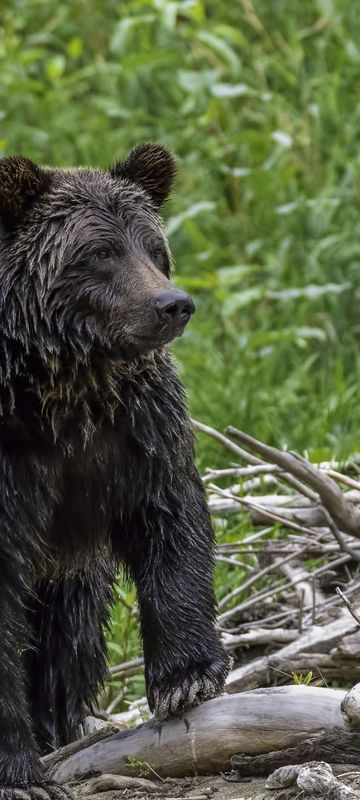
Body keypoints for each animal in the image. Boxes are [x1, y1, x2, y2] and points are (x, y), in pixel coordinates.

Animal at [0, 145, 231, 800]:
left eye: (153, 247)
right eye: (98, 252)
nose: (173, 304)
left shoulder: (134, 429)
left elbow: (170, 519)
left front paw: (187, 676)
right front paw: (18, 772)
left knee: (64, 643)